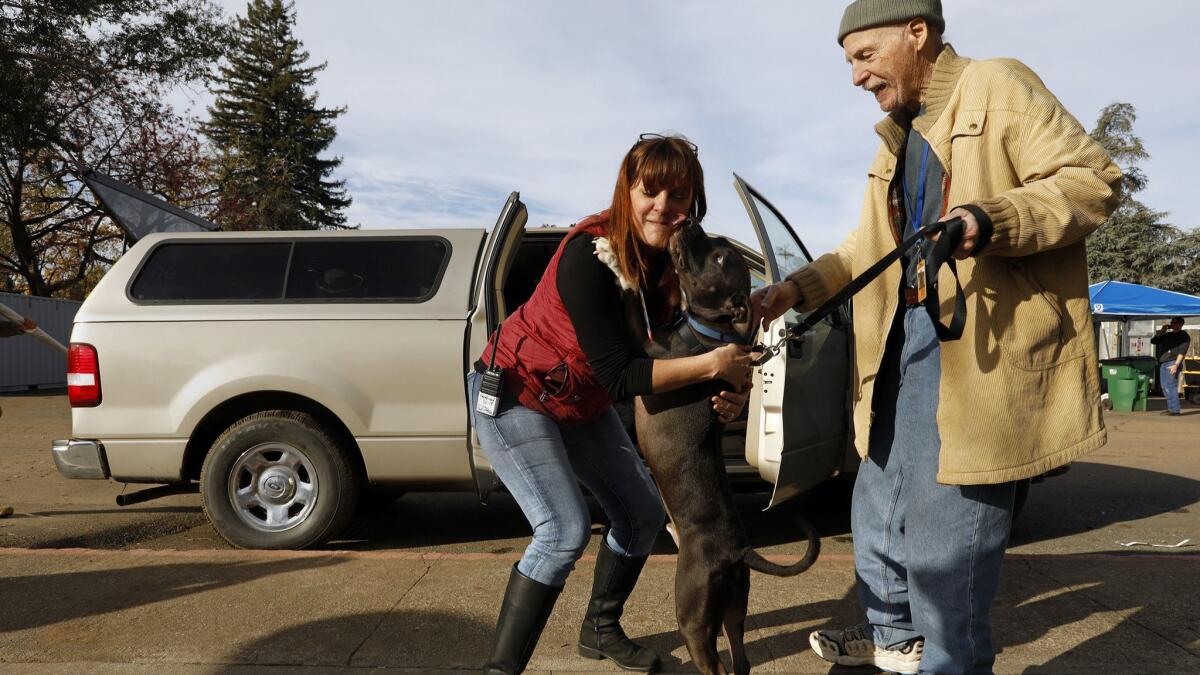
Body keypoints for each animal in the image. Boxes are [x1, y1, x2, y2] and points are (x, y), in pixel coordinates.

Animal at [633, 218, 820, 667]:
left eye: (720, 258)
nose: (688, 222)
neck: (708, 333)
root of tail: (737, 550)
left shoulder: (647, 355)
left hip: (693, 616)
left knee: (715, 662)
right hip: (735, 608)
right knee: (742, 660)